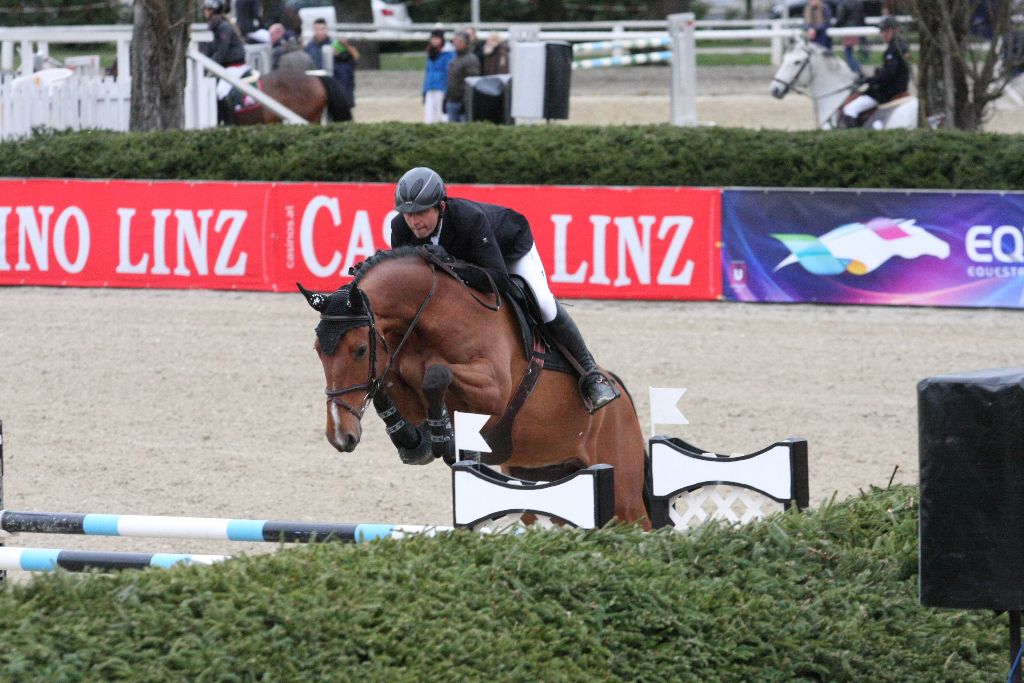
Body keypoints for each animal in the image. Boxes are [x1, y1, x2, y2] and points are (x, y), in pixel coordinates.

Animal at [299, 246, 647, 528]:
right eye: (317, 351)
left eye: (359, 350)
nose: (340, 435)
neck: (430, 315)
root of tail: (622, 397)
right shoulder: (400, 378)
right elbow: (389, 386)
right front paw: (417, 440)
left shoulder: (495, 389)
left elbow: (435, 374)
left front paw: (444, 434)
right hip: (541, 476)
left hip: (623, 495)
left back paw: (597, 388)